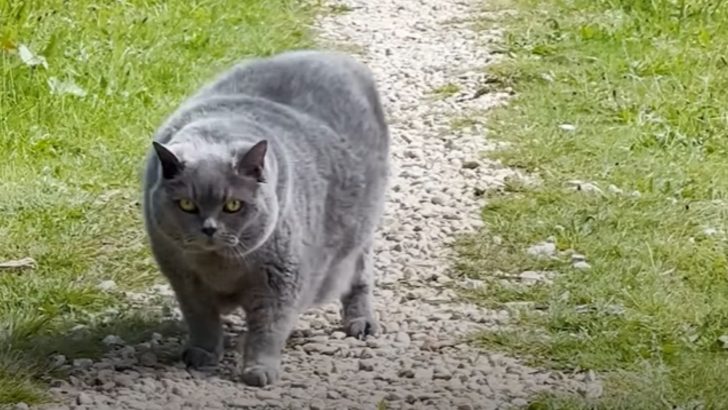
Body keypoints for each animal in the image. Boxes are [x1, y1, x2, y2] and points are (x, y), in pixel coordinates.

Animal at [144, 49, 392, 386]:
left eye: (233, 205)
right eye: (186, 204)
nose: (209, 228)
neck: (220, 265)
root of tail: (334, 56)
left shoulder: (281, 279)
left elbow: (268, 328)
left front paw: (259, 370)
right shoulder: (184, 279)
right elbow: (202, 319)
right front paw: (202, 354)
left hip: (359, 232)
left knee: (360, 275)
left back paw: (361, 322)